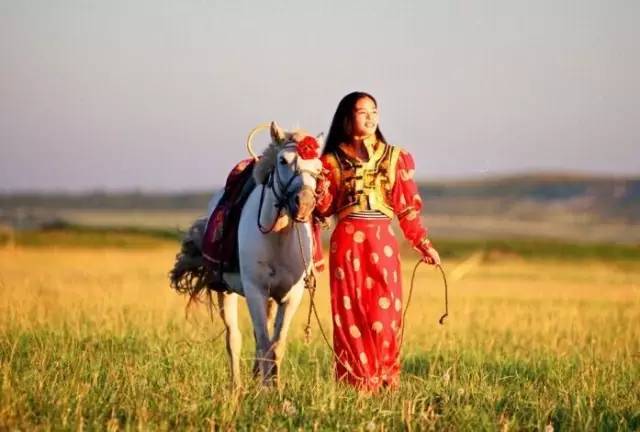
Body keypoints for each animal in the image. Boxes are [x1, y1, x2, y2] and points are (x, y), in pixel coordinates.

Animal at [170, 122, 322, 388]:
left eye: (319, 168)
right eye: (283, 160)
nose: (304, 204)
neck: (278, 237)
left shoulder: (291, 296)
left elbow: (276, 345)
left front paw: (274, 388)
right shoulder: (255, 291)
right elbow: (262, 341)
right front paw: (265, 389)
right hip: (226, 292)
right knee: (234, 338)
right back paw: (237, 387)